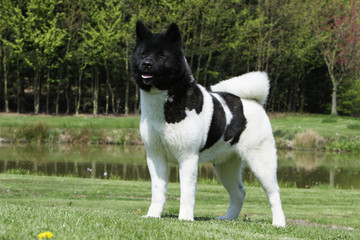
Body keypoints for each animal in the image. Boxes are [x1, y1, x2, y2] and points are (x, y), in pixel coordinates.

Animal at [131, 21, 286, 227]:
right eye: (143, 53)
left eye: (162, 55)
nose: (146, 64)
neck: (166, 99)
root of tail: (253, 101)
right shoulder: (155, 156)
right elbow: (158, 190)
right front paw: (153, 215)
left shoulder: (187, 157)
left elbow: (187, 192)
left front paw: (185, 218)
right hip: (225, 166)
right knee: (239, 192)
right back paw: (228, 218)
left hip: (261, 160)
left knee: (273, 192)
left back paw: (279, 222)